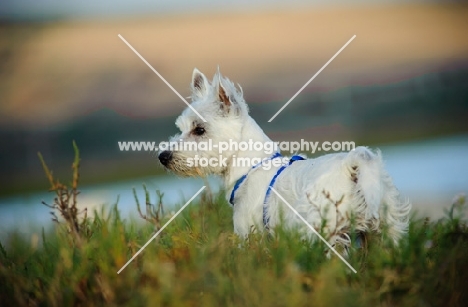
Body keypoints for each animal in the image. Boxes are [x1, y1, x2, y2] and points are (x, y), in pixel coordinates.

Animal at [160, 68, 410, 251]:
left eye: (199, 130)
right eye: (180, 128)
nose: (163, 156)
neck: (251, 168)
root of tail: (353, 166)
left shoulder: (248, 234)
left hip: (324, 230)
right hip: (385, 228)